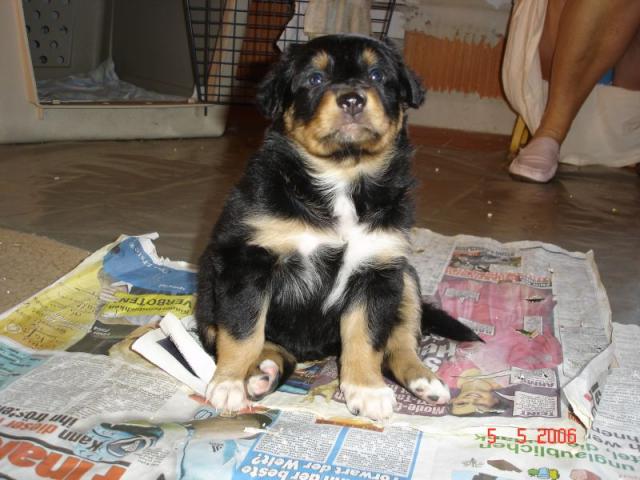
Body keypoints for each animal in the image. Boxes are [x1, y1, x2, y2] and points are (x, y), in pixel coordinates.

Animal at [196, 34, 480, 421]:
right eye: (315, 78)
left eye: (377, 75)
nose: (352, 99)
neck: (341, 176)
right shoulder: (248, 261)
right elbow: (244, 330)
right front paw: (230, 382)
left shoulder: (377, 269)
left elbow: (366, 337)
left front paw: (367, 389)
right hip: (208, 293)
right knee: (261, 343)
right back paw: (263, 372)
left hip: (406, 278)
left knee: (402, 341)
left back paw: (424, 380)